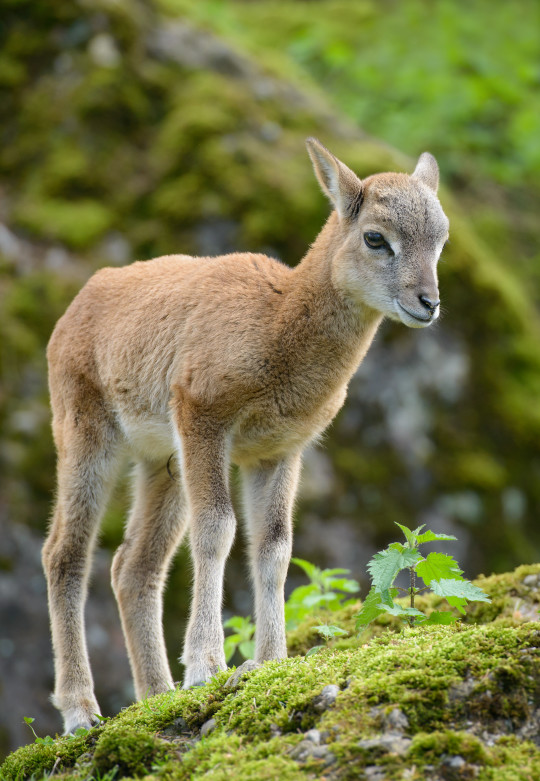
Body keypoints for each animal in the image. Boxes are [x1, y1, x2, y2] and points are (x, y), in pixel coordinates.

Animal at [42, 139, 450, 732]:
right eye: (376, 236)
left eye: (441, 236)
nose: (427, 303)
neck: (276, 325)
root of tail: (72, 313)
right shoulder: (204, 417)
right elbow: (218, 530)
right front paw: (207, 667)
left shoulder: (278, 451)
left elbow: (274, 548)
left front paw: (270, 661)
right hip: (86, 436)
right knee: (66, 554)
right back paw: (81, 711)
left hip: (162, 463)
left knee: (133, 566)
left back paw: (157, 695)